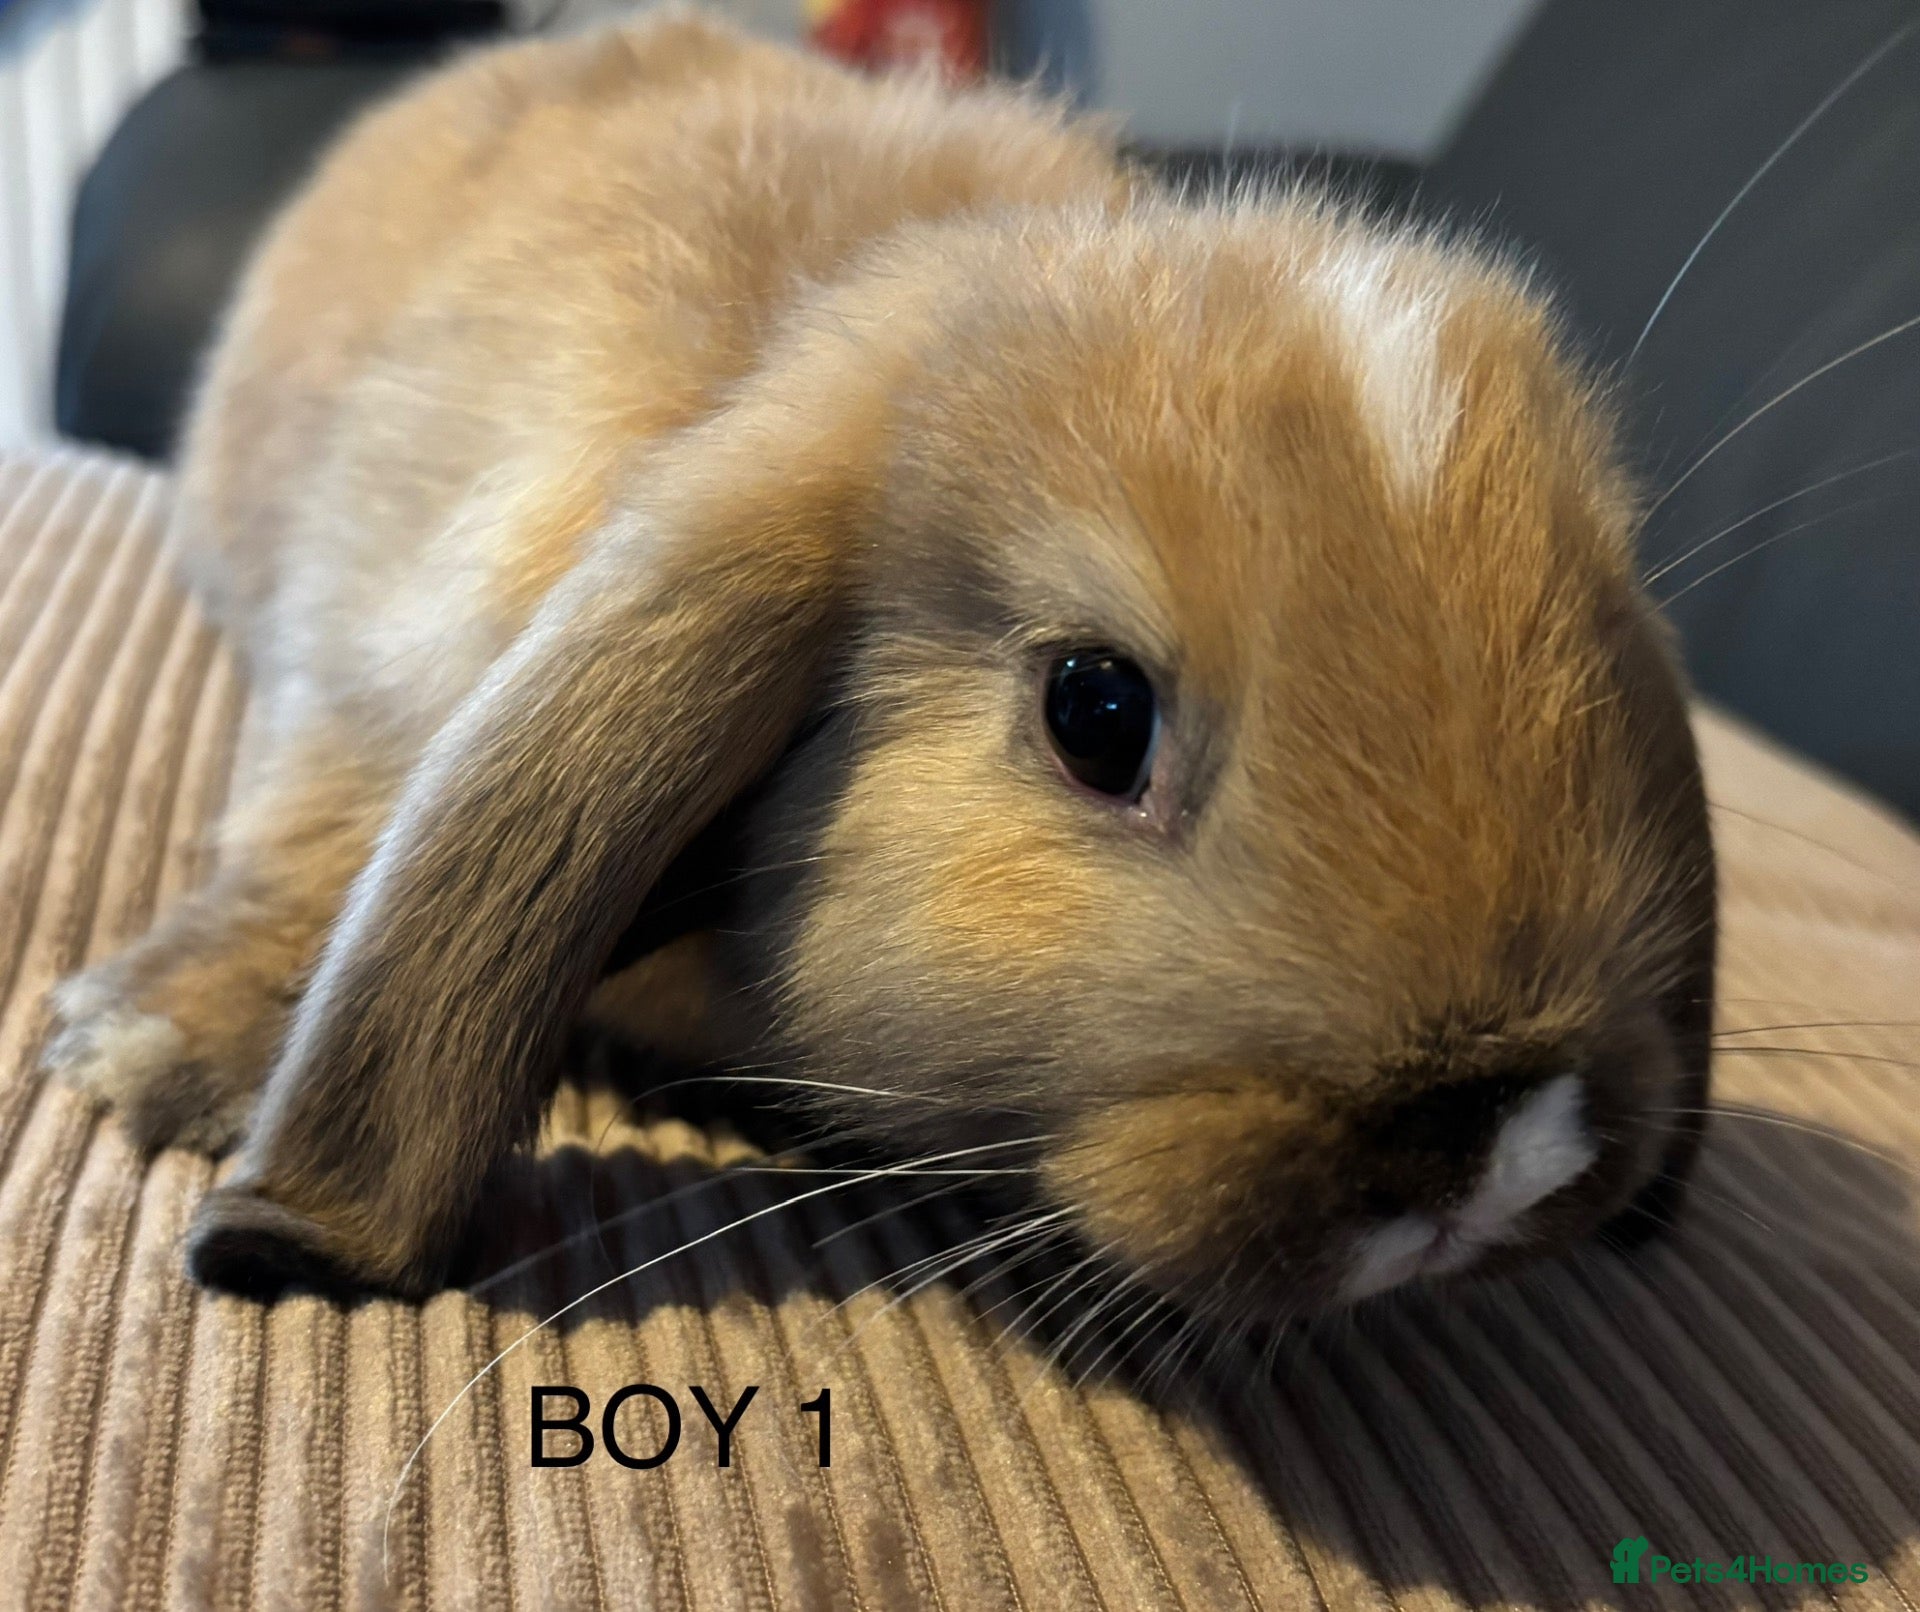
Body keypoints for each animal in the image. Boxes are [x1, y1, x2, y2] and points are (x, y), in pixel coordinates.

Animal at [43, 7, 1715, 1317]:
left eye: (1593, 680)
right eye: (1096, 711)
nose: (1503, 1146)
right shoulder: (366, 670)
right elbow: (310, 845)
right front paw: (148, 1050)